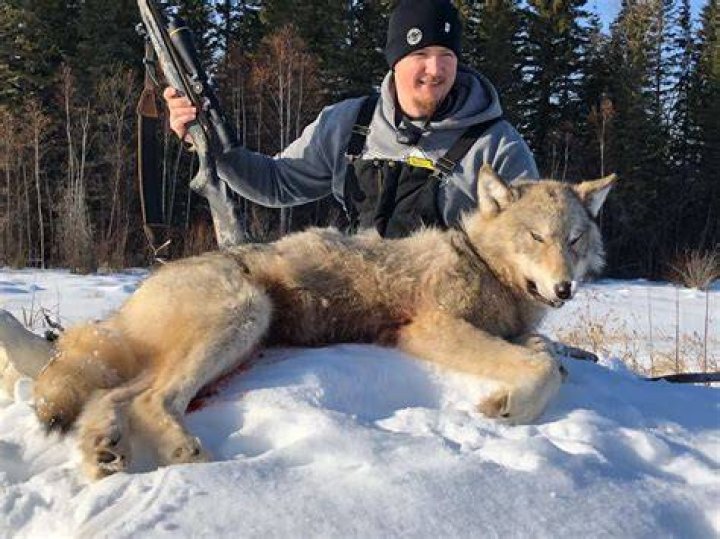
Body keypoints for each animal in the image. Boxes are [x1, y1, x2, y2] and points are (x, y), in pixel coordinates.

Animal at [29, 165, 615, 479]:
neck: (484, 267)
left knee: (113, 396)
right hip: (246, 316)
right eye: (536, 237)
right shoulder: (427, 327)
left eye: (573, 240)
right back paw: (177, 451)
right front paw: (508, 408)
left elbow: (549, 358)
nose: (565, 288)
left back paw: (104, 452)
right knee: (152, 398)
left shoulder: (517, 330)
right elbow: (542, 369)